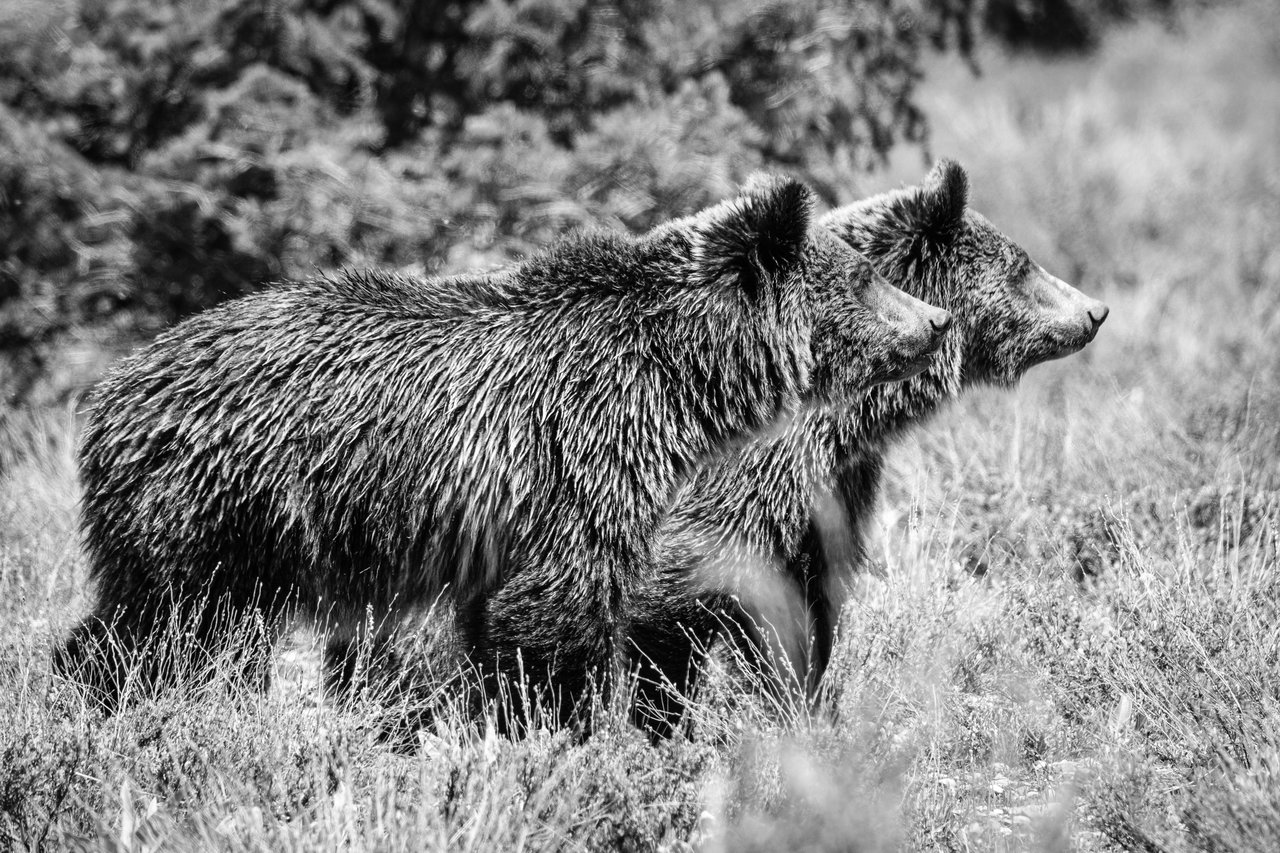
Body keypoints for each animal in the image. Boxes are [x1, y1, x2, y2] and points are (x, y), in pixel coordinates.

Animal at [56, 174, 949, 729]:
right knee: (170, 624)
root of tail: (112, 389)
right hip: (214, 506)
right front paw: (563, 725)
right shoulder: (576, 459)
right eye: (866, 279)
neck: (675, 379)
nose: (938, 320)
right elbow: (558, 615)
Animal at [627, 159, 1109, 739]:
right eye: (1022, 265)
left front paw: (806, 709)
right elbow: (676, 605)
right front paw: (658, 724)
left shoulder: (834, 486)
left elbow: (807, 609)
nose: (1096, 310)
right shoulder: (737, 482)